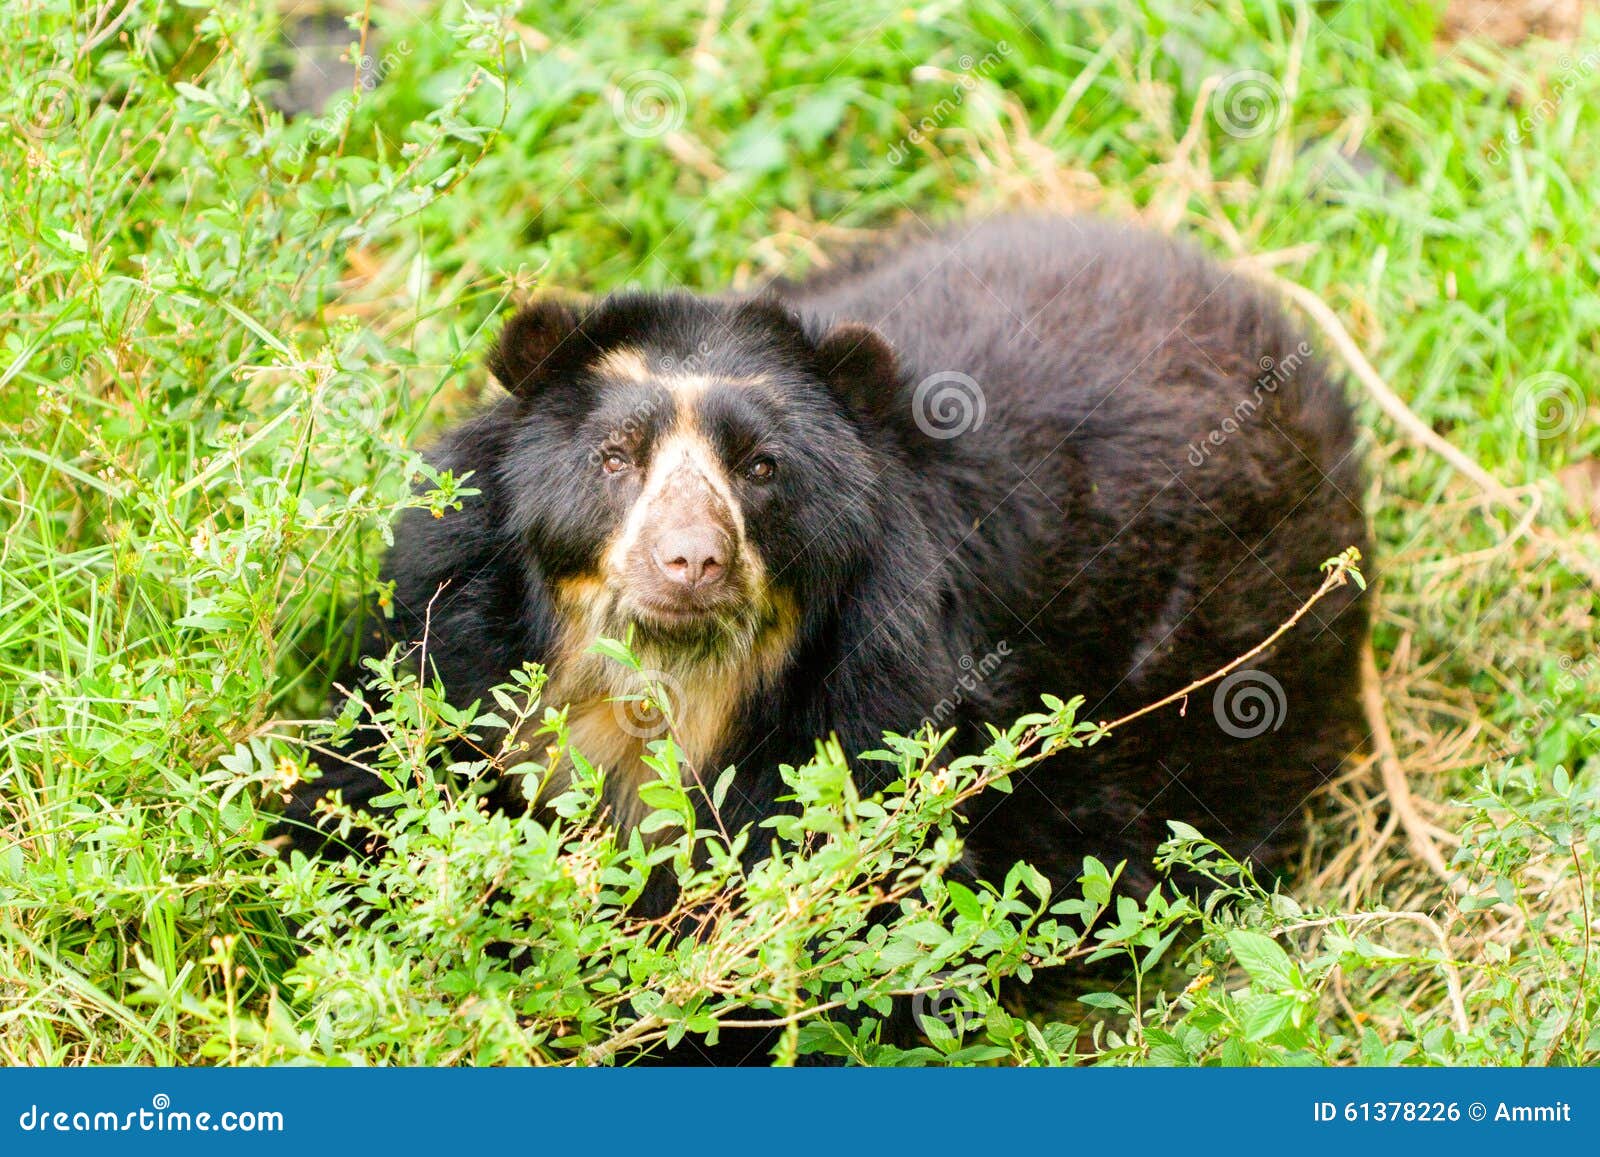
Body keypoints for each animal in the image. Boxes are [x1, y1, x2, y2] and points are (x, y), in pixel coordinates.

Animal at [281, 217, 1369, 902]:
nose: (690, 562)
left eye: (760, 467)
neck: (660, 693)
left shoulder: (879, 697)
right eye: (615, 456)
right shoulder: (449, 620)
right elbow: (373, 774)